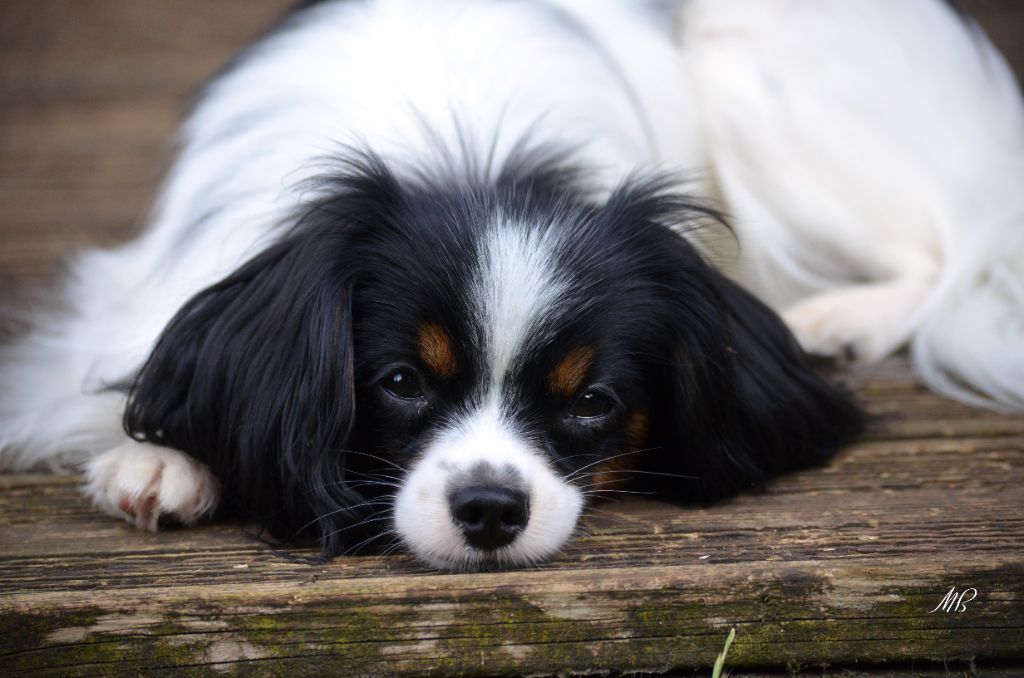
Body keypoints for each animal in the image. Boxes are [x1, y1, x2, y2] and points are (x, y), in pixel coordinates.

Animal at [2, 1, 1024, 573]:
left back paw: (839, 319)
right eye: (402, 383)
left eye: (594, 401)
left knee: (945, 241)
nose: (491, 510)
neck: (470, 153)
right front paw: (163, 459)